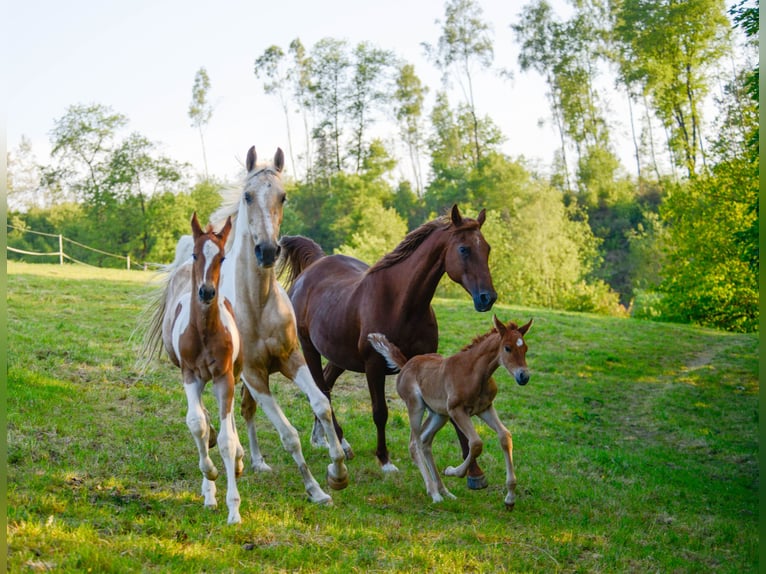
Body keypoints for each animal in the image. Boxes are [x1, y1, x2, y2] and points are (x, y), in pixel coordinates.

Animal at [141, 214, 243, 524]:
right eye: (197, 254)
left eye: (222, 257)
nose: (207, 291)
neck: (204, 332)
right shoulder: (189, 376)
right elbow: (197, 423)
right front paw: (210, 476)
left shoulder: (224, 377)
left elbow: (226, 438)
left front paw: (234, 509)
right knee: (203, 420)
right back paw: (208, 490)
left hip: (234, 373)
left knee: (228, 421)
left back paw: (238, 460)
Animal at [276, 206, 498, 476]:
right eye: (464, 249)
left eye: (487, 248)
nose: (487, 298)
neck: (402, 304)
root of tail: (315, 264)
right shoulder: (374, 366)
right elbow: (380, 412)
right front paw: (385, 460)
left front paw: (473, 470)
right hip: (310, 349)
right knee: (322, 390)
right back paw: (340, 444)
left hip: (340, 356)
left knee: (325, 385)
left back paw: (325, 439)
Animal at [370, 318, 536, 510]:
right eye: (507, 348)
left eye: (525, 349)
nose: (523, 376)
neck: (476, 373)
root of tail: (406, 365)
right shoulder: (457, 410)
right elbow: (476, 443)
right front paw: (453, 471)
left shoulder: (485, 408)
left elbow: (505, 436)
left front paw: (510, 497)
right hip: (416, 406)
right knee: (414, 444)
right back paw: (434, 493)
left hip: (438, 414)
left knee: (426, 441)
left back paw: (444, 491)